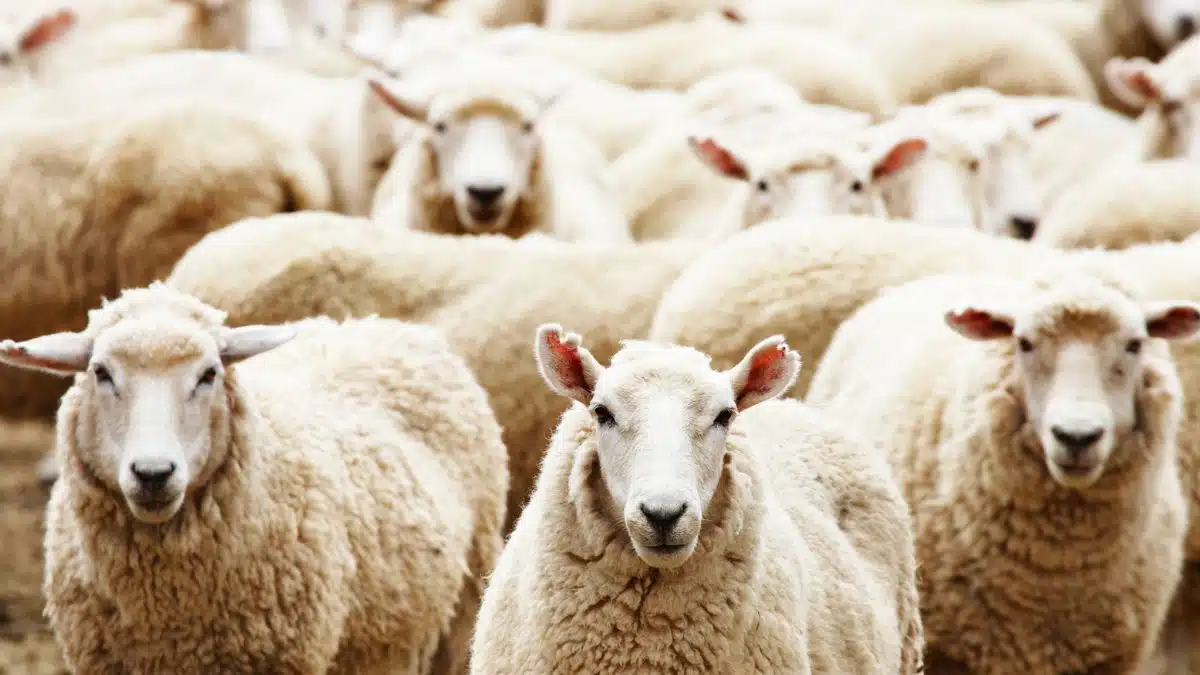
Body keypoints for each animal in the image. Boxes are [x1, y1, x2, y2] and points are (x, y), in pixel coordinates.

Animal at [0, 282, 507, 674]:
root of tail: (389, 326)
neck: (167, 610)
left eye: (208, 374)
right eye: (101, 373)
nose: (153, 473)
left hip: (462, 608)